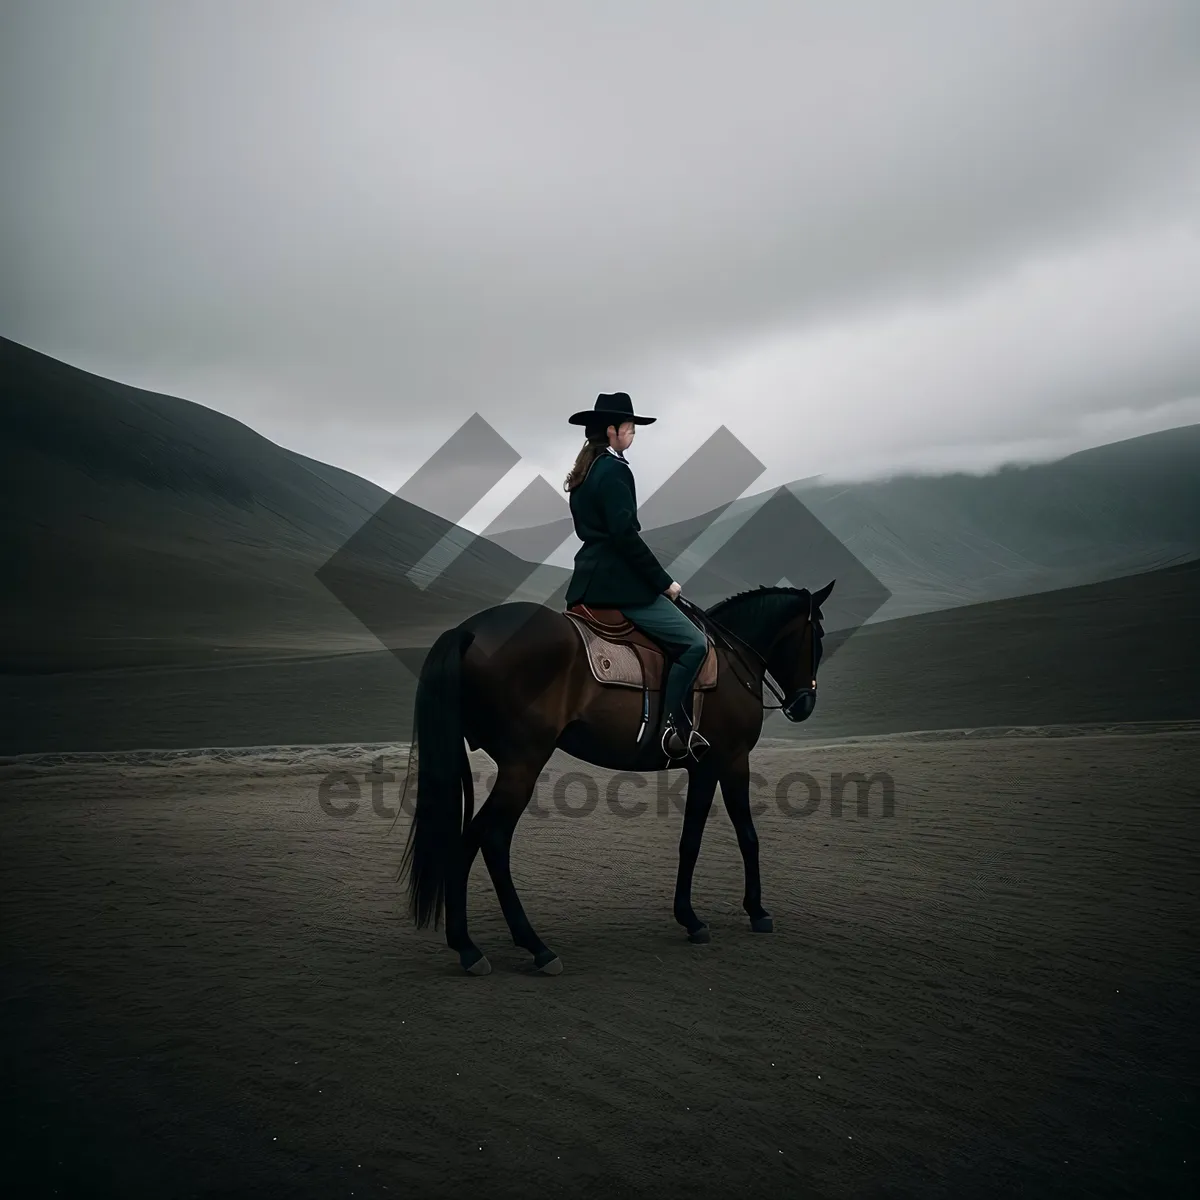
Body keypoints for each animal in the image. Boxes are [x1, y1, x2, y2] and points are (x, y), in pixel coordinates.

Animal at [398, 580, 830, 974]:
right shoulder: (729, 761)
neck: (731, 661)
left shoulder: (704, 767)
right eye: (819, 638)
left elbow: (692, 841)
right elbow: (743, 837)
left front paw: (690, 917)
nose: (805, 704)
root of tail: (466, 631)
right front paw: (754, 911)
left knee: (471, 840)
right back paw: (533, 947)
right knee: (492, 839)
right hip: (523, 765)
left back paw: (468, 946)